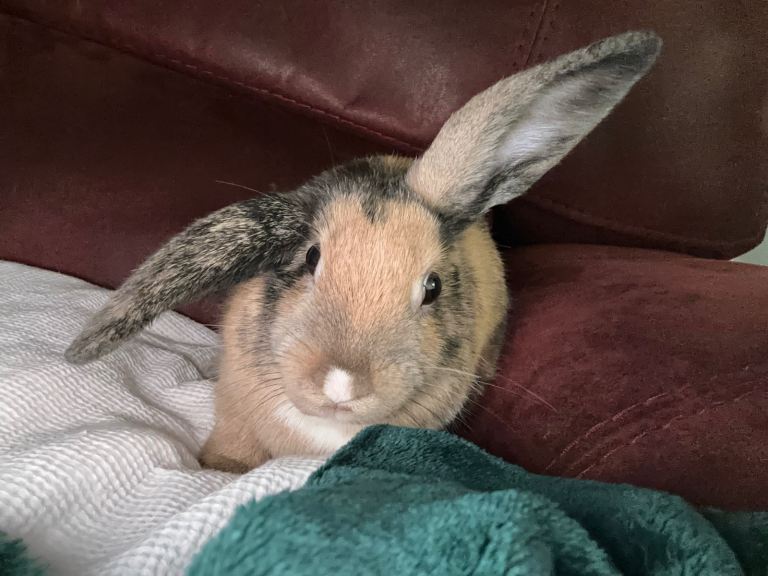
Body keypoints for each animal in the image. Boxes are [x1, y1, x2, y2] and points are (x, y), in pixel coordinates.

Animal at [65, 31, 661, 472]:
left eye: (432, 287)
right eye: (311, 258)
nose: (342, 382)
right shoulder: (235, 409)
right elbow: (233, 449)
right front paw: (219, 469)